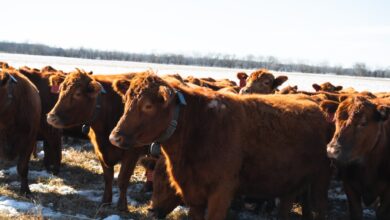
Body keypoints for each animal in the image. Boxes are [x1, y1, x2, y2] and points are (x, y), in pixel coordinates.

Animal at [45, 69, 149, 211]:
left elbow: (123, 179)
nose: (51, 117)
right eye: (60, 89)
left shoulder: (131, 153)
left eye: (77, 93)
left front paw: (122, 206)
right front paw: (105, 202)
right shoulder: (100, 151)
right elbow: (108, 177)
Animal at [109, 72, 332, 220]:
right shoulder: (193, 194)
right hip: (290, 182)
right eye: (126, 100)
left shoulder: (221, 191)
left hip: (321, 179)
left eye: (148, 105)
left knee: (321, 207)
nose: (115, 137)